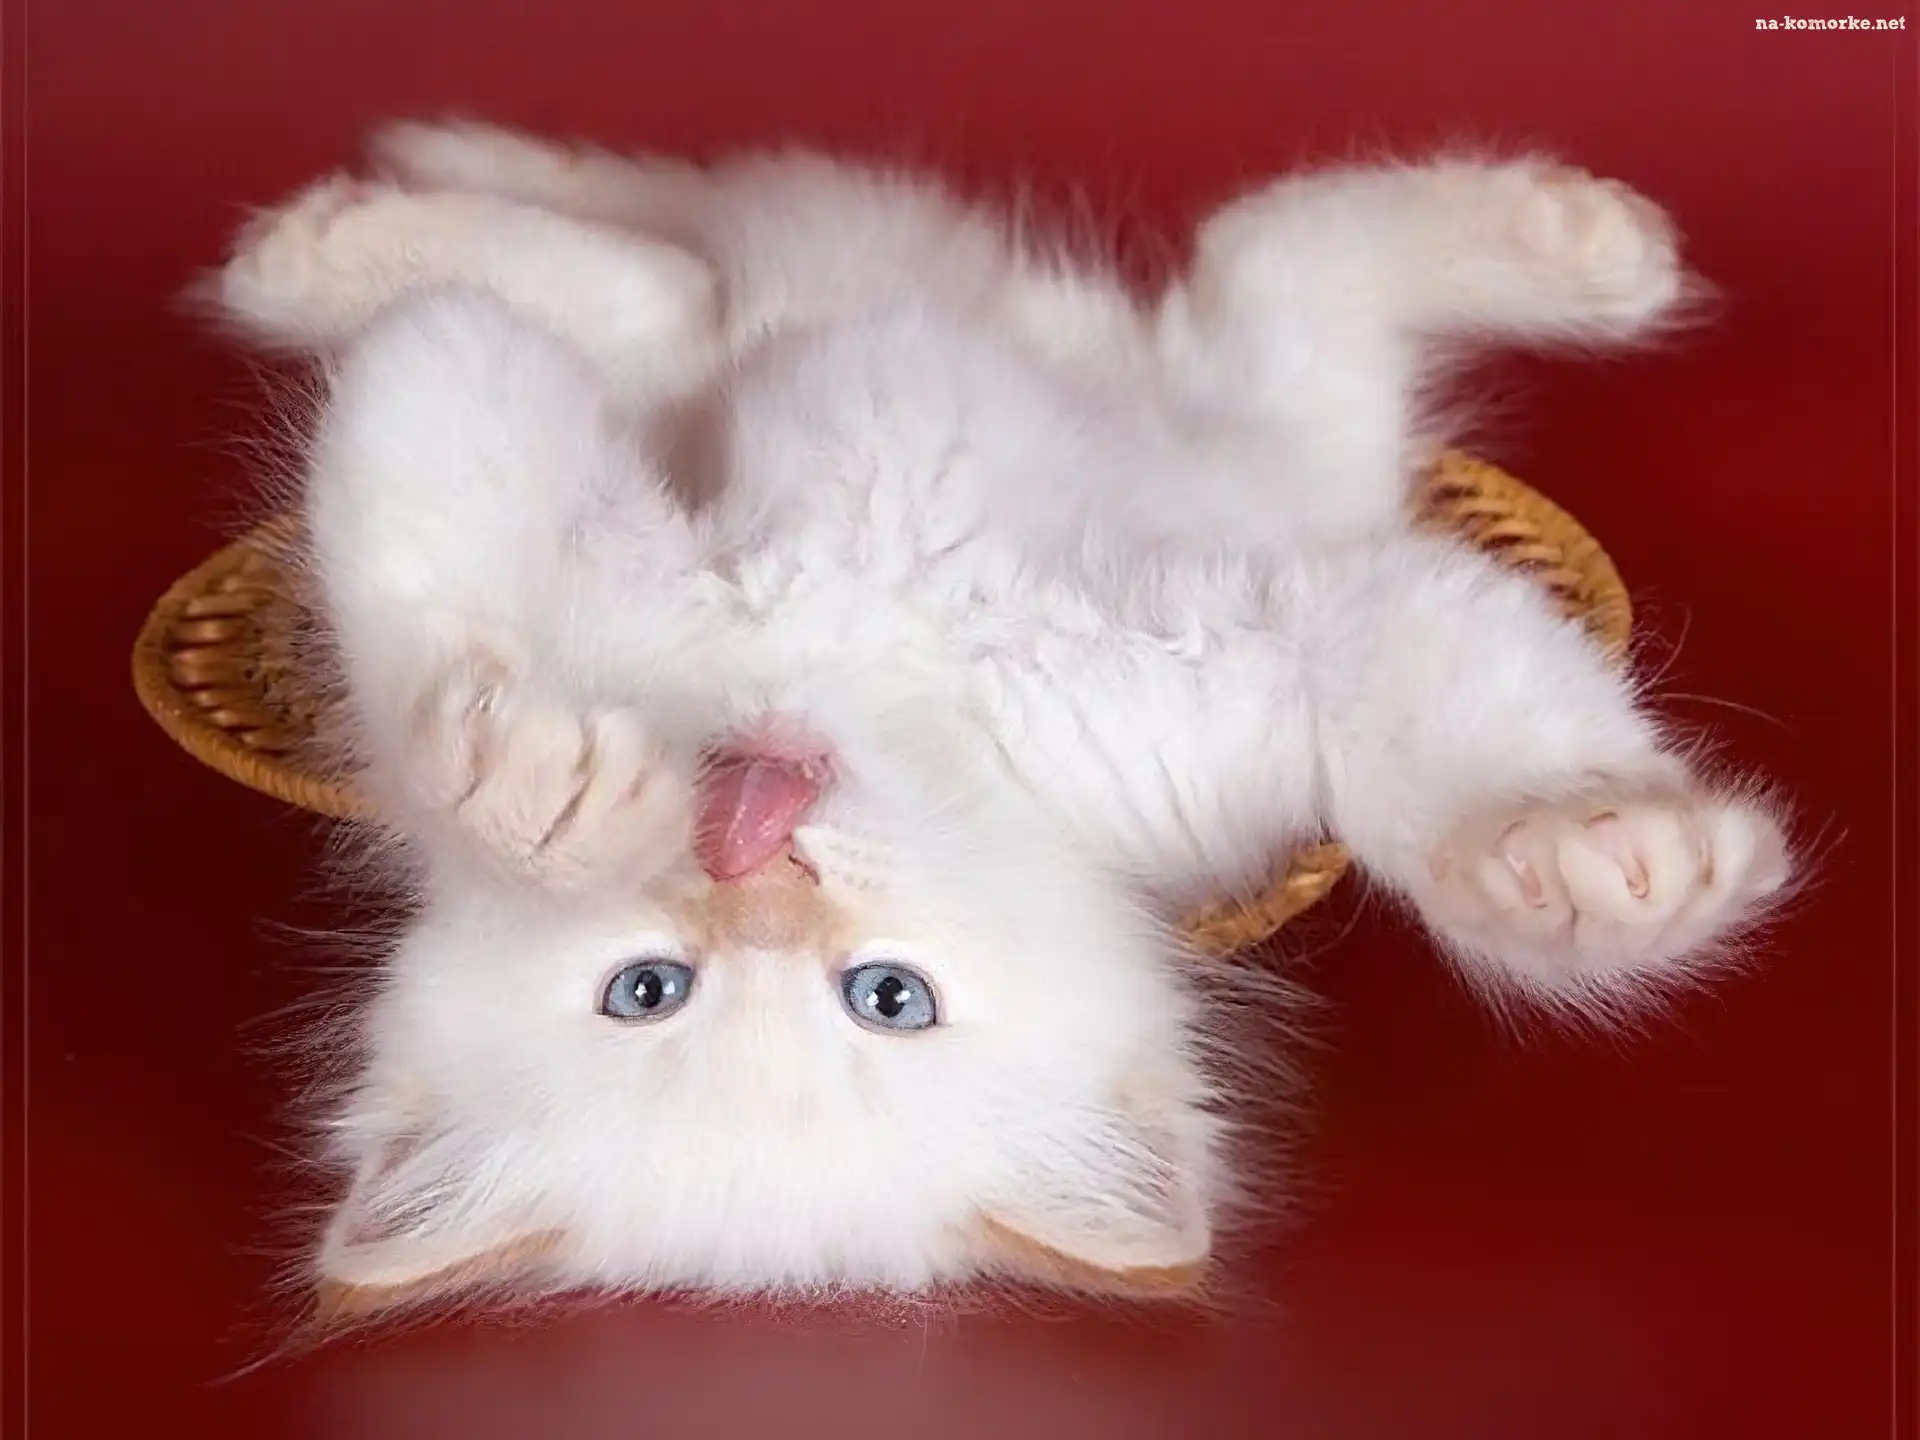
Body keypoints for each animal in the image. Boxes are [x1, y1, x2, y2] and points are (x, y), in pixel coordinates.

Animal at [197, 120, 1793, 1316]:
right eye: (649, 988)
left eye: (888, 998)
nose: (750, 862)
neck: (862, 688)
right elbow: (428, 569)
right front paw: (531, 785)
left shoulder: (1240, 660)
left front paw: (1586, 849)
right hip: (1278, 427)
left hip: (1208, 420)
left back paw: (1590, 247)